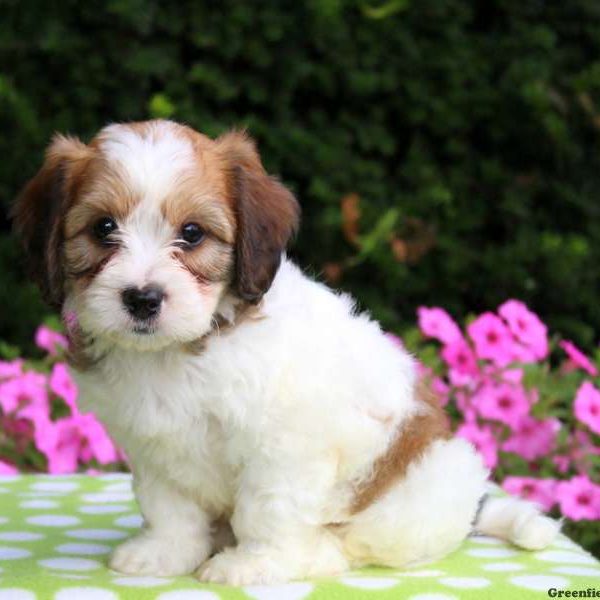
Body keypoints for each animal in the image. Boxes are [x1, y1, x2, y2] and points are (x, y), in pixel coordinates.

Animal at [12, 119, 556, 584]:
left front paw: (253, 564)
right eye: (104, 228)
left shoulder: (286, 445)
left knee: (360, 544)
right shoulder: (153, 445)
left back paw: (315, 554)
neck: (182, 349)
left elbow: (268, 508)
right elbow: (170, 507)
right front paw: (165, 553)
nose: (143, 298)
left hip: (412, 494)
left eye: (192, 233)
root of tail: (471, 505)